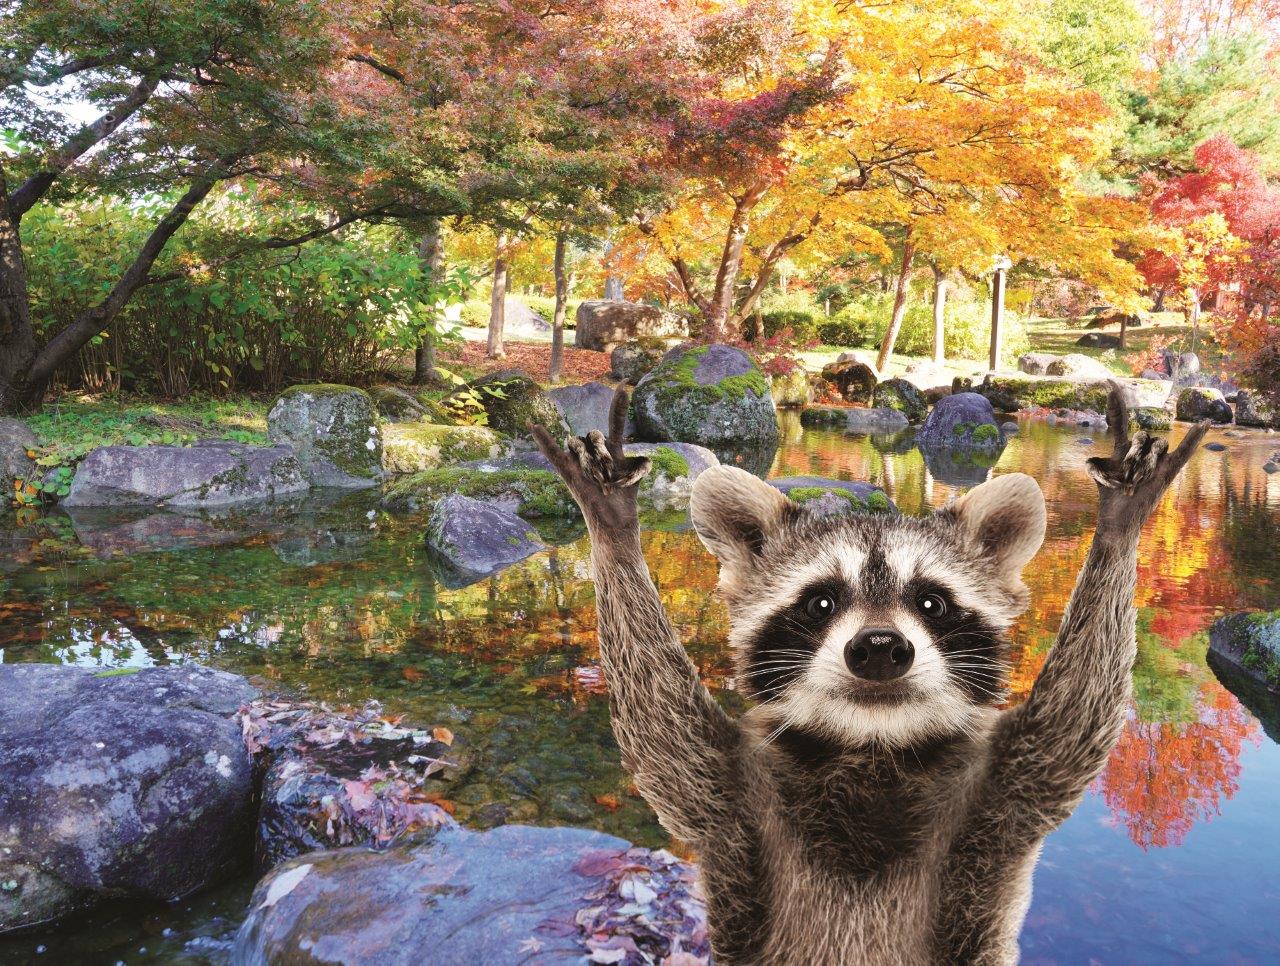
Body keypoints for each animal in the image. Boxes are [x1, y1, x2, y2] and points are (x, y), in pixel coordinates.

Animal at [531, 385, 1206, 965]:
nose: (880, 649)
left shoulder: (1004, 791)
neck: (872, 745)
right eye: (821, 602)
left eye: (932, 602)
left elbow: (1075, 720)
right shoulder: (730, 793)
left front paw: (1120, 524)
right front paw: (613, 527)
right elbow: (660, 726)